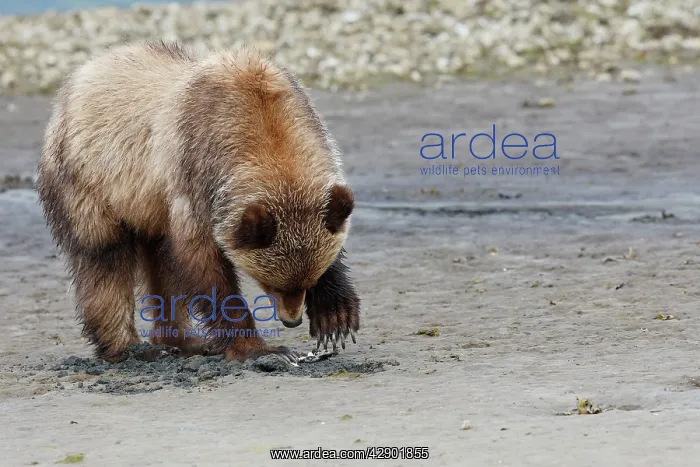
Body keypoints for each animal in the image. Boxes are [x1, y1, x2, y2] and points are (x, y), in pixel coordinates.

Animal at [36, 40, 360, 364]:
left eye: (307, 282)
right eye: (272, 284)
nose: (291, 319)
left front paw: (335, 317)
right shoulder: (196, 175)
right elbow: (204, 265)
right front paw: (260, 348)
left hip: (149, 209)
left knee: (162, 265)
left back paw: (185, 341)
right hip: (90, 182)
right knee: (104, 260)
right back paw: (128, 347)